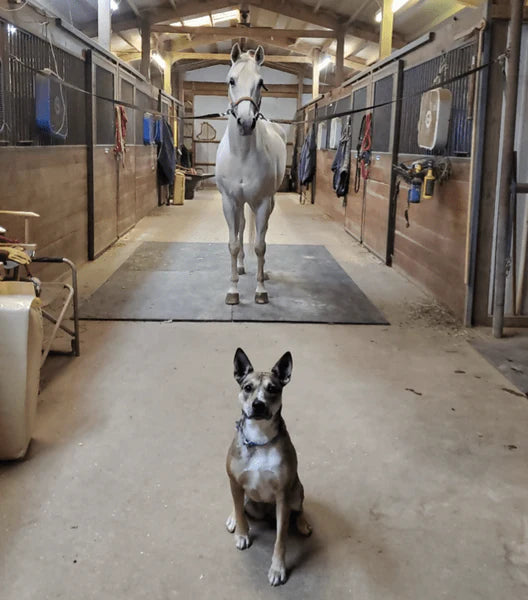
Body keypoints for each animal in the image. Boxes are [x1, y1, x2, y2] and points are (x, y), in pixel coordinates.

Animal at [216, 44, 286, 304]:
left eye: (261, 82)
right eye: (231, 80)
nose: (245, 123)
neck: (242, 155)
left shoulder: (264, 202)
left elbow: (260, 245)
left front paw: (260, 290)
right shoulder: (229, 201)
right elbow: (234, 244)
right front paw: (233, 291)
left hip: (263, 202)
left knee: (257, 232)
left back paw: (261, 273)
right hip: (241, 204)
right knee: (243, 227)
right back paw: (242, 267)